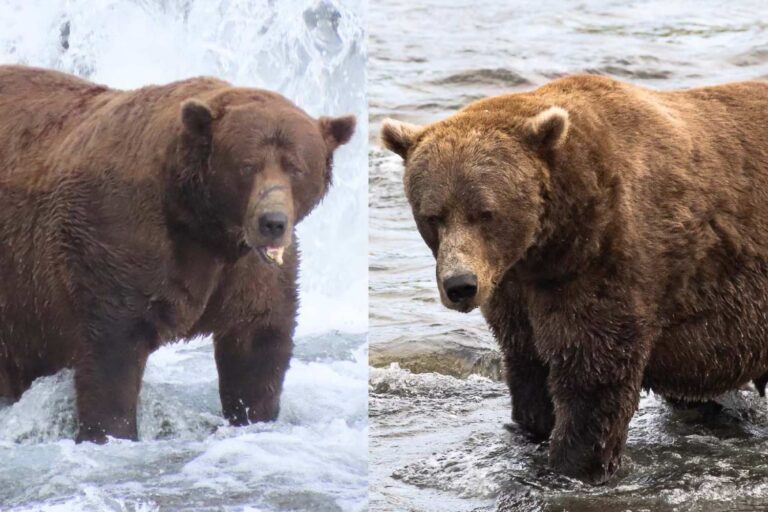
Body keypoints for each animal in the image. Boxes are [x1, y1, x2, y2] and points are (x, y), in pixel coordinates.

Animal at [0, 65, 355, 443]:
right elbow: (112, 352)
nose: (272, 222)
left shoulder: (250, 272)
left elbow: (258, 342)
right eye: (247, 165)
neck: (204, 225)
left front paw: (253, 415)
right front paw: (110, 432)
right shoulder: (118, 239)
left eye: (296, 168)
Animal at [380, 74, 768, 484]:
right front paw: (533, 430)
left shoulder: (603, 264)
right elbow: (529, 371)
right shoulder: (515, 293)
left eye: (485, 212)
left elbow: (592, 379)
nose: (460, 285)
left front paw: (574, 465)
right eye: (433, 215)